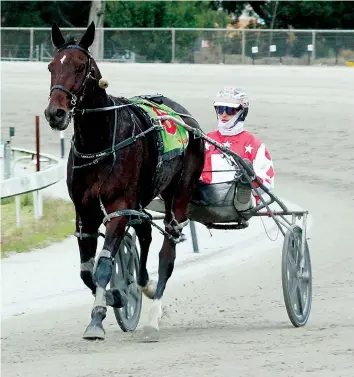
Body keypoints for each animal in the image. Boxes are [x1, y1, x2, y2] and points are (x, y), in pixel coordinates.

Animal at [44, 22, 205, 340]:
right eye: (51, 66)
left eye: (81, 67)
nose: (55, 113)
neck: (101, 140)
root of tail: (186, 117)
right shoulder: (85, 212)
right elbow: (87, 270)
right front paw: (116, 294)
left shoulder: (118, 207)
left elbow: (105, 265)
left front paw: (97, 319)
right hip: (141, 200)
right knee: (144, 231)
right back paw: (143, 284)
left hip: (179, 195)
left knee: (167, 251)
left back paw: (153, 315)